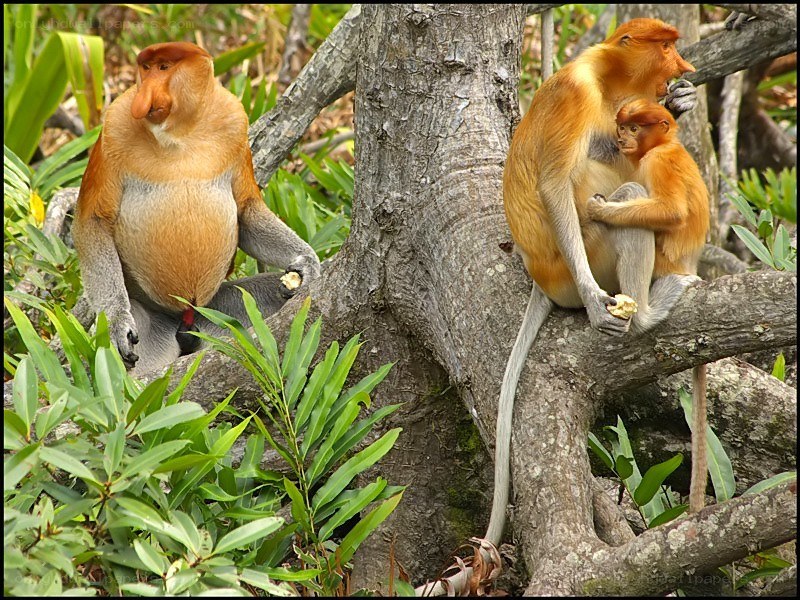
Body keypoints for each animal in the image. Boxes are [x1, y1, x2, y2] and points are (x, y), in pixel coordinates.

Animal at [73, 42, 320, 376]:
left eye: (163, 68)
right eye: (145, 69)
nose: (143, 96)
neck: (181, 132)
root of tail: (185, 322)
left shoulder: (234, 123)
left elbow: (246, 210)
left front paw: (307, 264)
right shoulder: (114, 126)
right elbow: (94, 220)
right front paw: (117, 323)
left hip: (217, 309)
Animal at [586, 98, 709, 514]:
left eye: (636, 127)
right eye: (624, 126)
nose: (622, 137)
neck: (666, 143)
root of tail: (688, 265)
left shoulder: (659, 162)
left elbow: (670, 210)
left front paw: (598, 210)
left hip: (661, 260)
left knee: (633, 194)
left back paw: (641, 316)